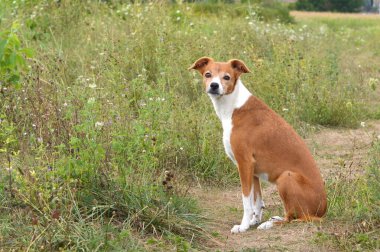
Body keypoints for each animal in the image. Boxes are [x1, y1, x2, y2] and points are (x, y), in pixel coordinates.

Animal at [189, 56, 326, 232]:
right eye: (208, 74)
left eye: (226, 77)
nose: (214, 85)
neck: (234, 106)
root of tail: (322, 212)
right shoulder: (253, 170)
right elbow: (257, 201)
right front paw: (254, 221)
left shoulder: (244, 163)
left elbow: (246, 201)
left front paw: (243, 226)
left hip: (286, 177)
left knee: (292, 217)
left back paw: (270, 223)